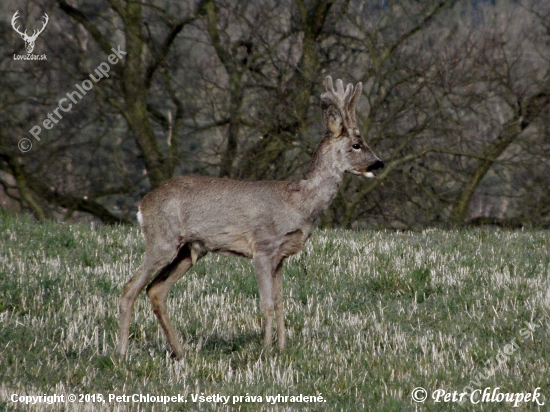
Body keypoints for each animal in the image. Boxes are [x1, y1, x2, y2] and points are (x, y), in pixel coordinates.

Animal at [116, 76, 384, 358]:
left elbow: (280, 303)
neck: (299, 203)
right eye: (356, 145)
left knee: (155, 290)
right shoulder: (263, 247)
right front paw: (266, 349)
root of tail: (143, 205)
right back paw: (121, 353)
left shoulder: (281, 256)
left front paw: (282, 348)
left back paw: (181, 352)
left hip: (188, 250)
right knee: (130, 288)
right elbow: (266, 303)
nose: (379, 163)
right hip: (162, 240)